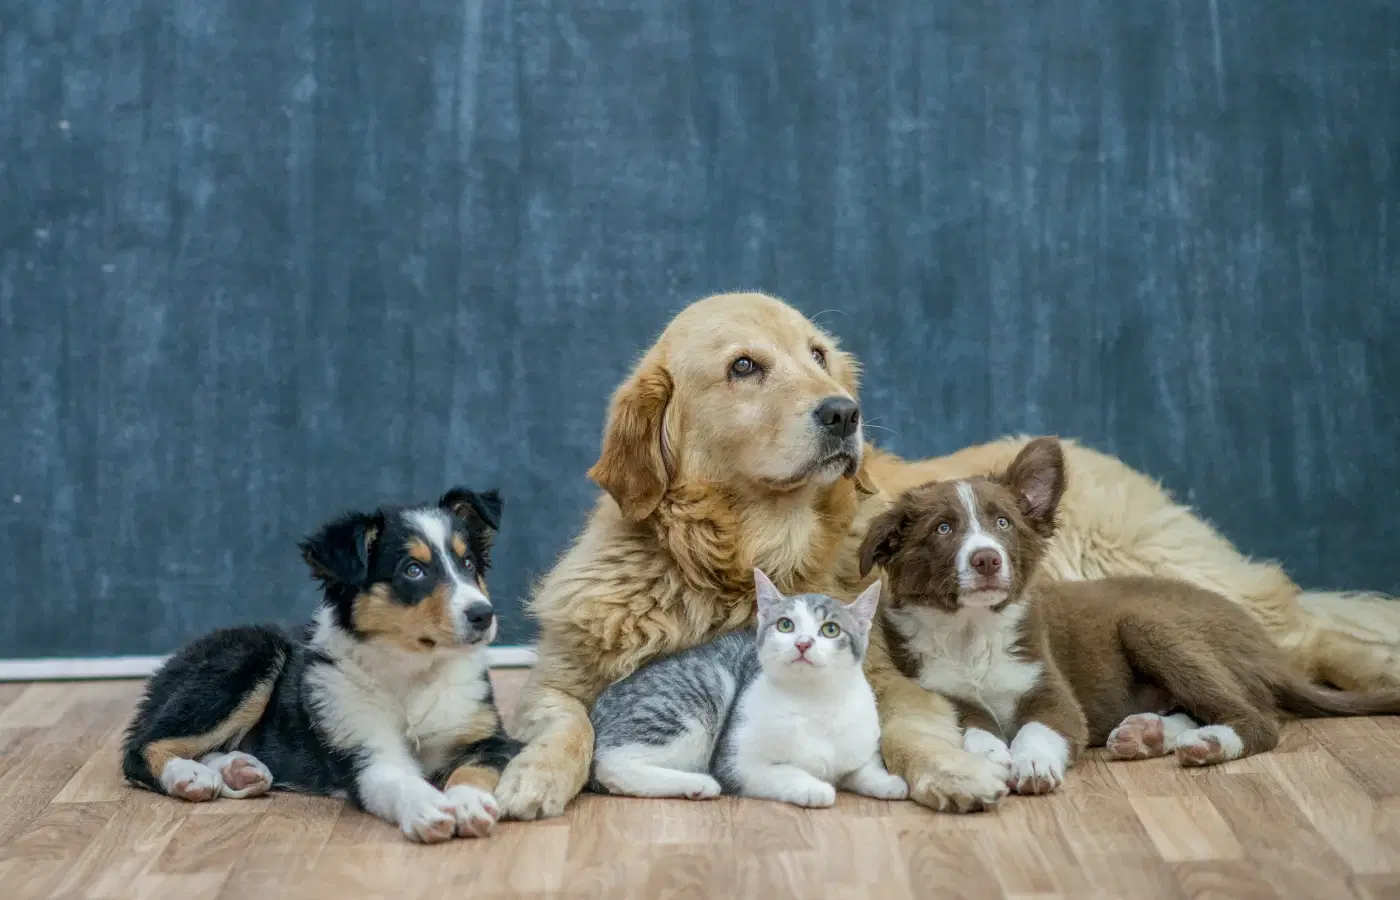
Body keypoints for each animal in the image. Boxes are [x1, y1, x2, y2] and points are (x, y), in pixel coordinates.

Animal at [121, 489, 520, 839]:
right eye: (413, 570)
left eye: (468, 564)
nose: (483, 615)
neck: (413, 670)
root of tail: (170, 663)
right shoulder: (364, 751)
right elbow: (399, 782)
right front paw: (429, 808)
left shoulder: (490, 738)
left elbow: (472, 771)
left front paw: (468, 804)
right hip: (250, 656)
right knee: (138, 748)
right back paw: (188, 776)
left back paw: (238, 769)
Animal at [582, 571, 901, 811]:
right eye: (786, 625)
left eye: (830, 629)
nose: (803, 643)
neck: (813, 701)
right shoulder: (735, 763)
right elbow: (784, 771)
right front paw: (813, 787)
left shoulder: (861, 744)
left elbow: (864, 768)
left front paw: (887, 782)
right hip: (699, 696)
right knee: (612, 764)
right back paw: (696, 784)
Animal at [856, 439, 1400, 800]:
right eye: (943, 529)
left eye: (1003, 523)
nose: (987, 559)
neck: (973, 634)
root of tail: (1267, 650)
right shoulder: (942, 692)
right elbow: (976, 727)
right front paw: (990, 756)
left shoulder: (1054, 694)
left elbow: (1039, 728)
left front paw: (1031, 762)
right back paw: (1151, 733)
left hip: (1150, 623)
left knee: (1257, 716)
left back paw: (1210, 742)